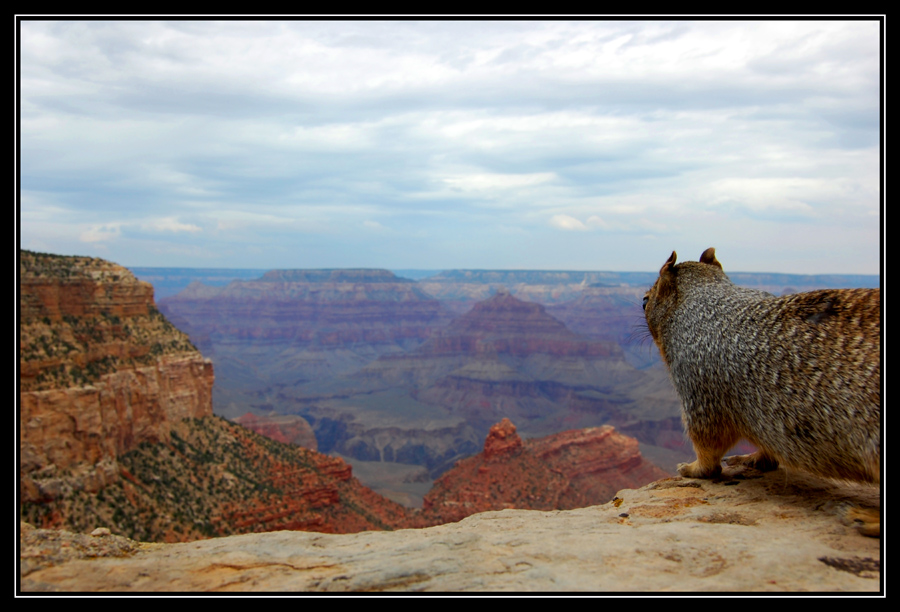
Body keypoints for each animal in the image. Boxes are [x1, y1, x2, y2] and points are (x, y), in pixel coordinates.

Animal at [644, 247, 884, 536]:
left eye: (648, 298)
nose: (642, 300)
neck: (705, 298)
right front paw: (753, 458)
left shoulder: (697, 390)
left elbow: (707, 442)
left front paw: (691, 468)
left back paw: (862, 517)